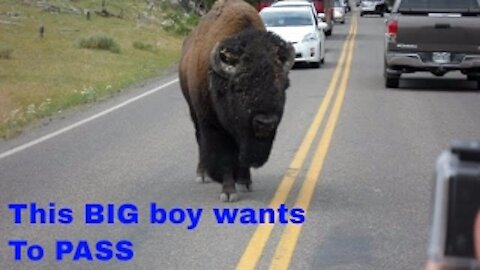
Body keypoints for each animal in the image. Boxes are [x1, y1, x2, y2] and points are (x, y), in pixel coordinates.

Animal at [178, 0, 294, 200]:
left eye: (282, 86)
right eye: (239, 87)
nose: (265, 122)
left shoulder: (244, 134)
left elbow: (242, 156)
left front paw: (244, 182)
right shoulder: (214, 126)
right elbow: (225, 157)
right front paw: (228, 192)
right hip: (194, 112)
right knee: (200, 140)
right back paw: (202, 174)